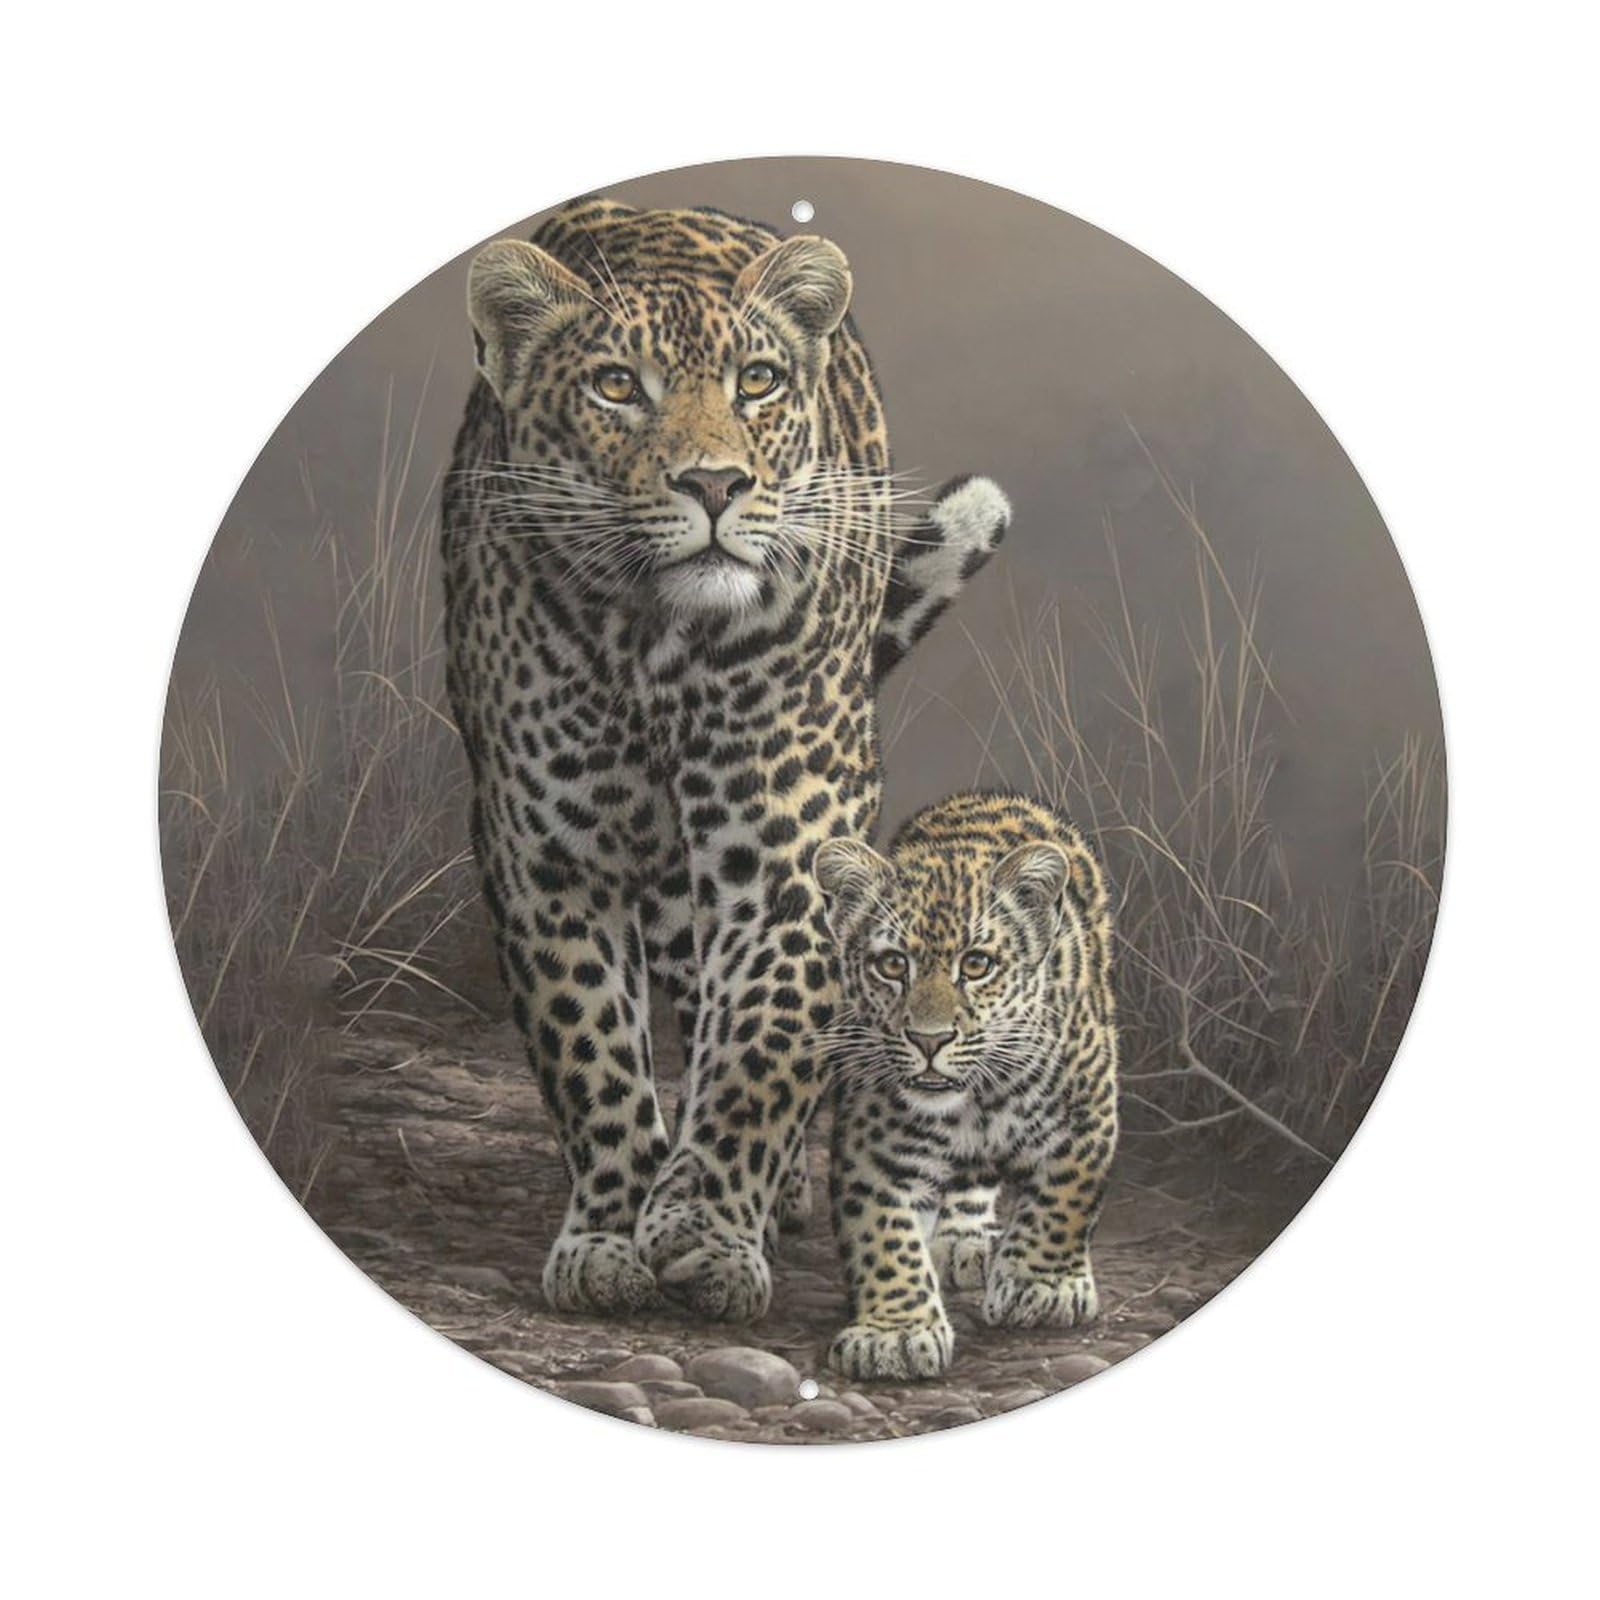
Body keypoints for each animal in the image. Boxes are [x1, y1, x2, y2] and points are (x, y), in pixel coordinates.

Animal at [441, 196, 1011, 1322]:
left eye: (757, 381)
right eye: (617, 385)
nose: (714, 482)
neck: (655, 643)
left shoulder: (788, 843)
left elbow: (764, 1040)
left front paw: (705, 1230)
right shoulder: (545, 849)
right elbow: (589, 1042)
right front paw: (613, 1231)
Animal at [812, 791, 1119, 1380]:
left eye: (977, 964)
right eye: (892, 964)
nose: (929, 1039)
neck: (978, 1099)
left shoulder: (1089, 1111)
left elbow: (1066, 1196)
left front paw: (1040, 1286)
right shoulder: (872, 1146)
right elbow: (884, 1234)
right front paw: (895, 1335)